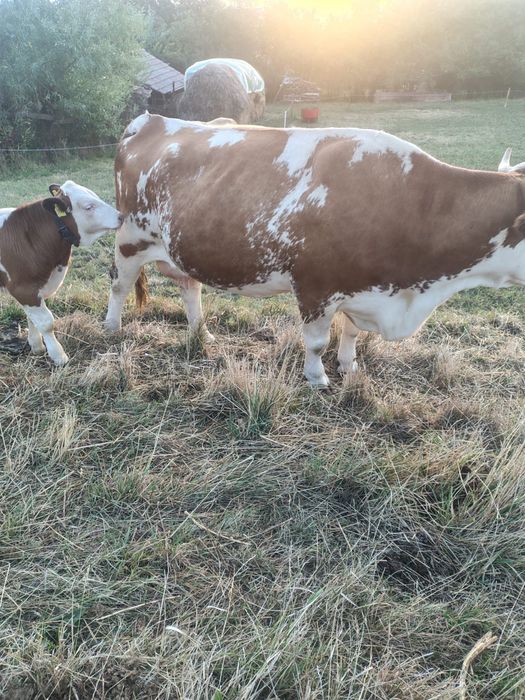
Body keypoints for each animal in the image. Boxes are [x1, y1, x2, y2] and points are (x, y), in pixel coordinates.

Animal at [1, 181, 122, 366]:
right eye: (89, 206)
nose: (121, 216)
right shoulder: (23, 288)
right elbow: (46, 322)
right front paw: (59, 356)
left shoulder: (33, 290)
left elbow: (32, 318)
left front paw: (37, 346)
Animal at [105, 113, 525, 387]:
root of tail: (150, 119)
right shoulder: (315, 285)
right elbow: (318, 341)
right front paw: (317, 377)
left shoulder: (364, 287)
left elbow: (351, 333)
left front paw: (349, 366)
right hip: (129, 237)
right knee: (119, 286)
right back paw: (111, 328)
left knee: (189, 286)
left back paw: (202, 333)